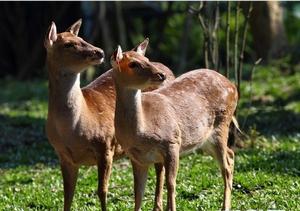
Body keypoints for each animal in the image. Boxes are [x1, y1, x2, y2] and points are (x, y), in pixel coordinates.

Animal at [44, 19, 176, 210]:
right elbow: (67, 194)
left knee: (160, 168)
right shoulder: (63, 155)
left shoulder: (105, 144)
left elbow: (102, 191)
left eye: (82, 38)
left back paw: (157, 206)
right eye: (68, 44)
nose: (99, 51)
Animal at [110, 45, 239, 210]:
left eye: (147, 59)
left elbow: (171, 183)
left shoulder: (172, 142)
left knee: (226, 165)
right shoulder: (137, 157)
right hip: (205, 139)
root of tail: (233, 85)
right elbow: (138, 192)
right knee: (231, 154)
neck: (142, 132)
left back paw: (225, 207)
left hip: (222, 124)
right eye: (133, 64)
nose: (161, 74)